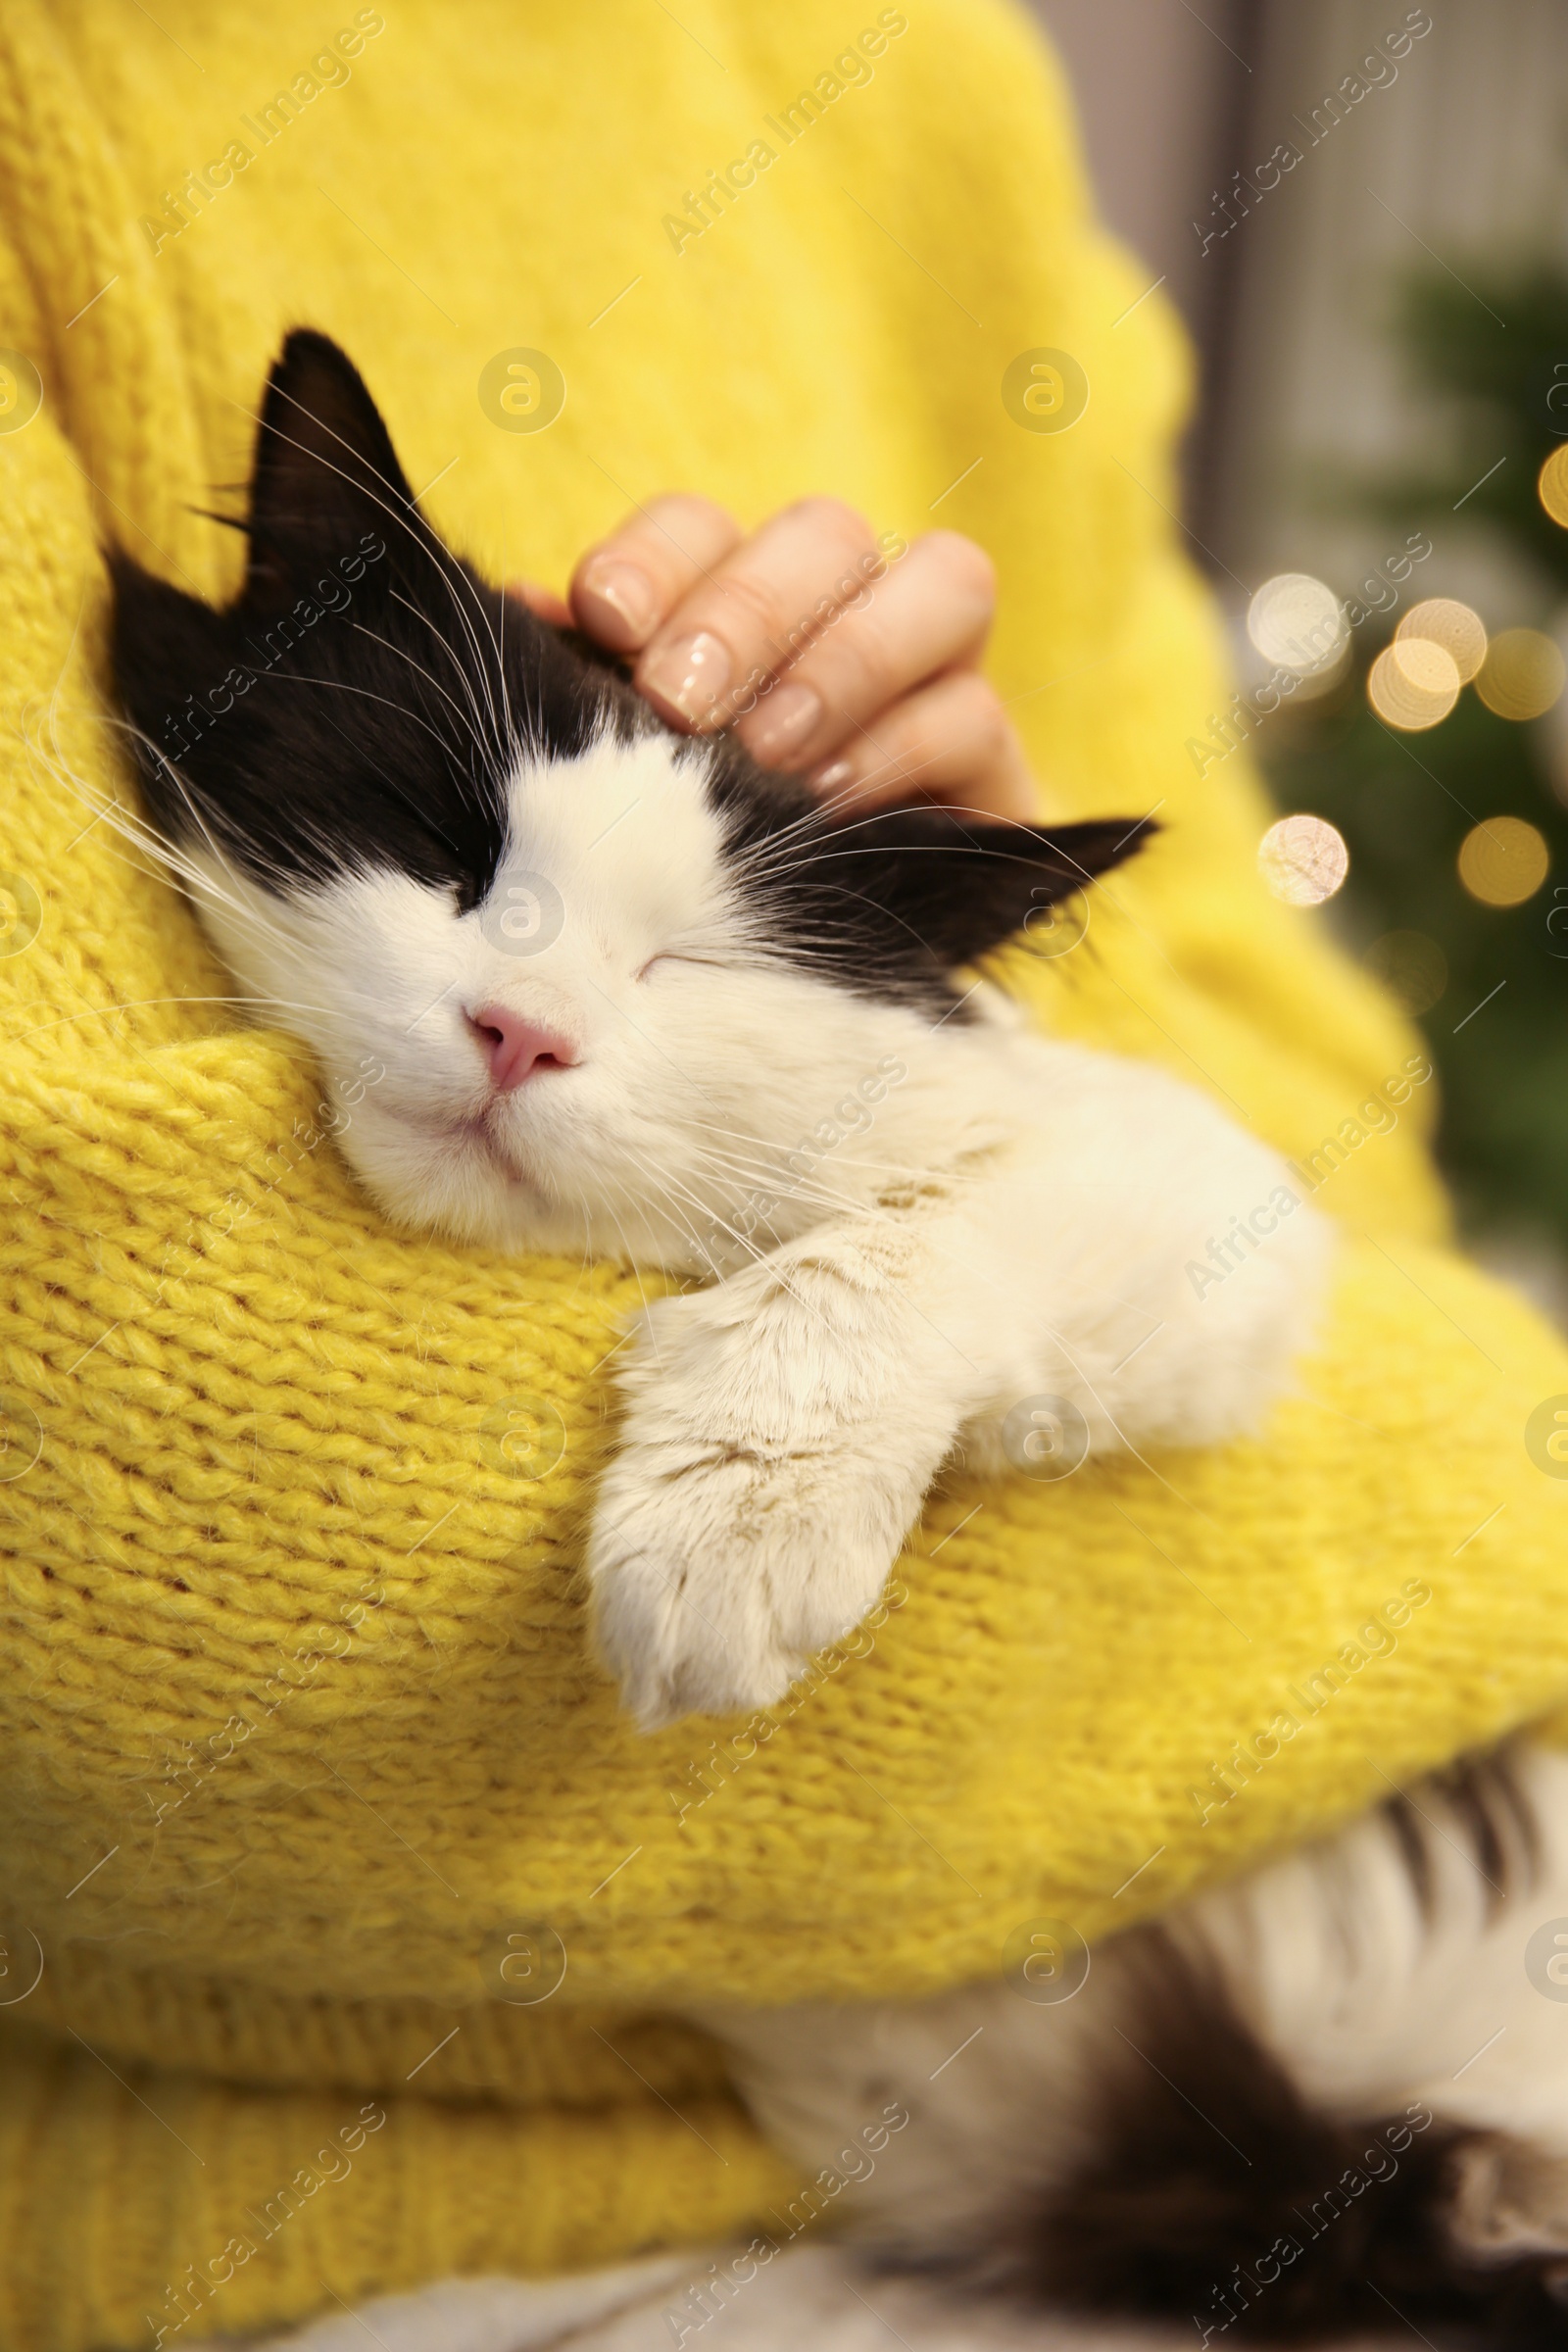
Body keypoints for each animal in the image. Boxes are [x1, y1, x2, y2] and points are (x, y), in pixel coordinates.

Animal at [116, 336, 1568, 2352]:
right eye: (442, 846)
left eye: (692, 971)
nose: (517, 1033)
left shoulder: (1215, 1211)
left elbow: (894, 1251)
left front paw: (737, 1532)